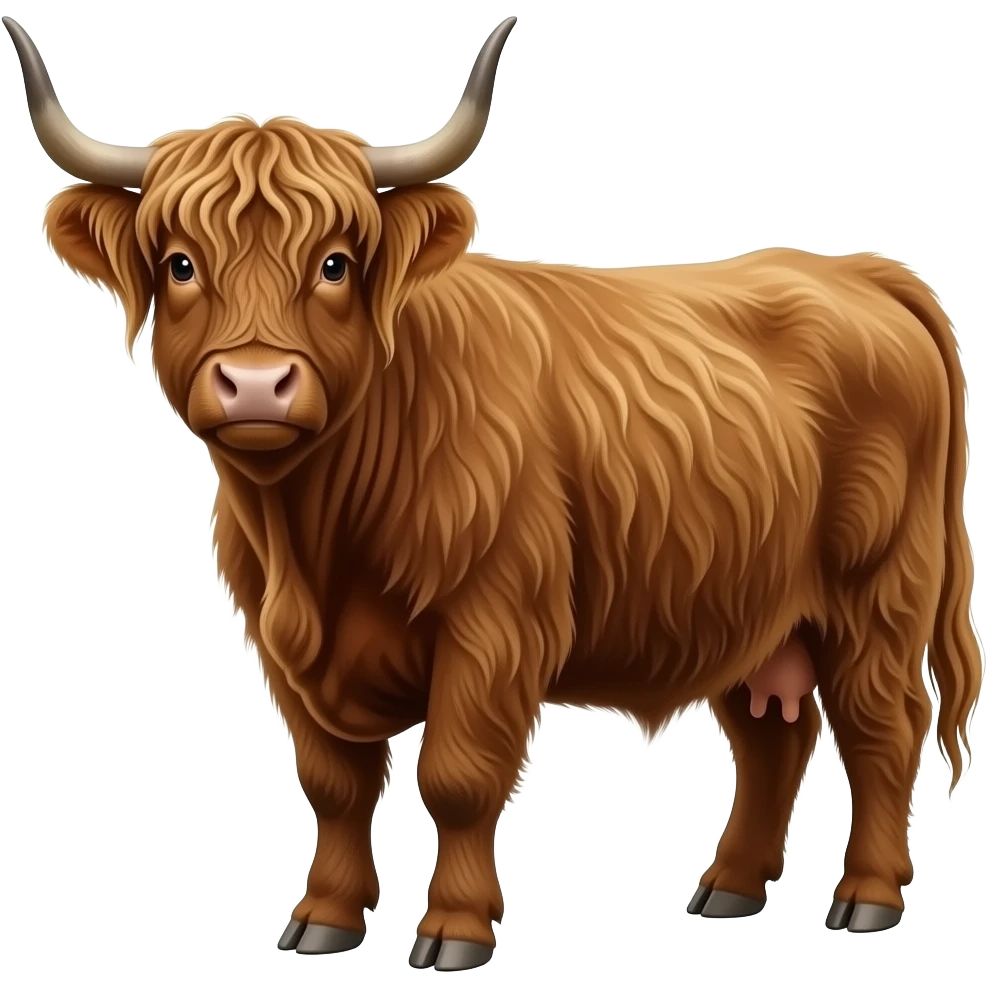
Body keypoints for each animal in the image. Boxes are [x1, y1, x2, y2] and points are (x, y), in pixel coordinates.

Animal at [6, 13, 983, 969]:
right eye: (178, 264)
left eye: (334, 264)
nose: (255, 383)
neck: (314, 540)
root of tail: (854, 270)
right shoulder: (282, 649)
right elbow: (334, 782)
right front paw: (323, 918)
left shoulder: (494, 622)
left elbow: (457, 775)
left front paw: (454, 930)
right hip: (751, 610)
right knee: (773, 736)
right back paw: (728, 888)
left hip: (877, 593)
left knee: (882, 725)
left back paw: (866, 896)